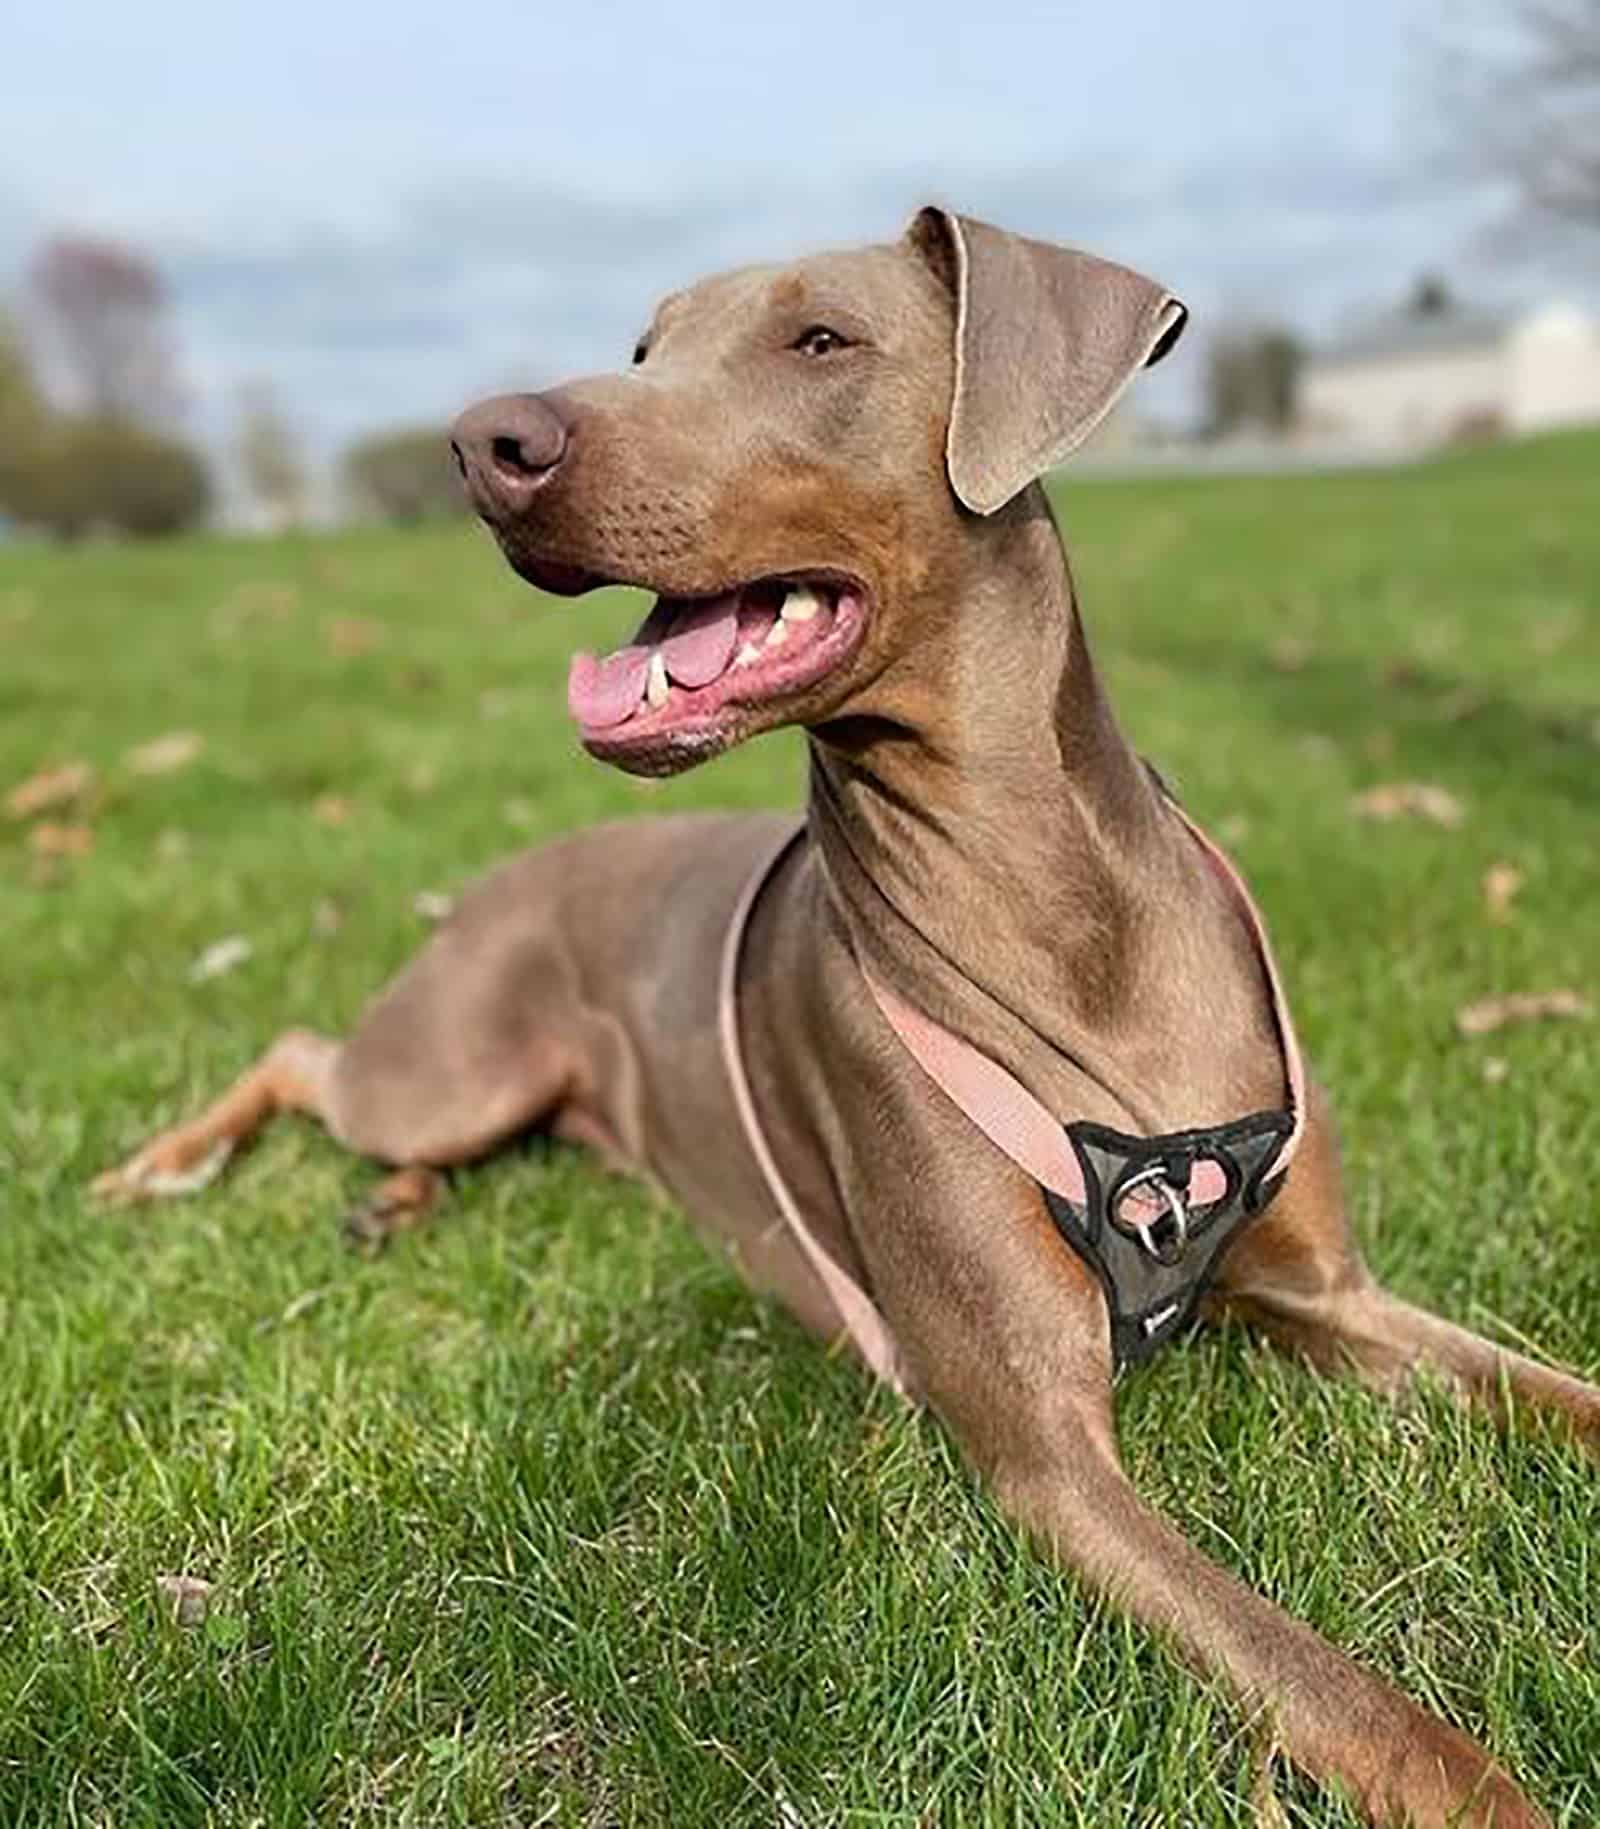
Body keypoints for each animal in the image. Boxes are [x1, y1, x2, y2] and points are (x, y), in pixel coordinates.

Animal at [96, 207, 1587, 1821]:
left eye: (821, 341)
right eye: (644, 346)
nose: (483, 440)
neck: (1058, 909)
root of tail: (501, 873)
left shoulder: (1337, 1298)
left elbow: (1548, 1393)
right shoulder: (1049, 1456)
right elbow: (1356, 1701)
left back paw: (391, 1203)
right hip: (455, 1061)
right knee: (305, 1054)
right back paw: (155, 1167)